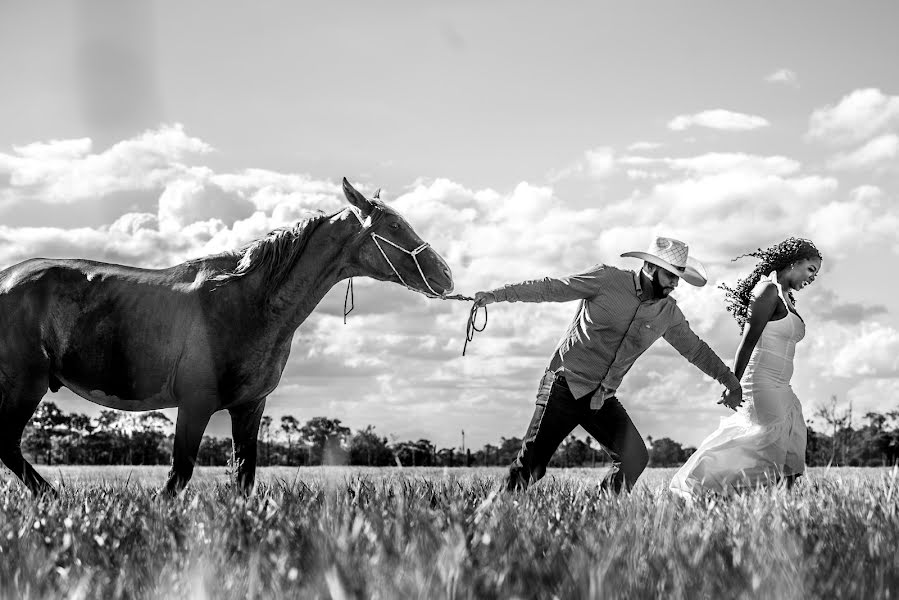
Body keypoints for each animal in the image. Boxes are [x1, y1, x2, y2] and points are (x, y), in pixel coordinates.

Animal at [0, 178, 454, 496]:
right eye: (394, 224)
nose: (445, 275)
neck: (247, 300)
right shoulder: (196, 403)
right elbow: (179, 474)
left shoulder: (250, 407)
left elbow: (244, 477)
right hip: (26, 384)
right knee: (7, 445)